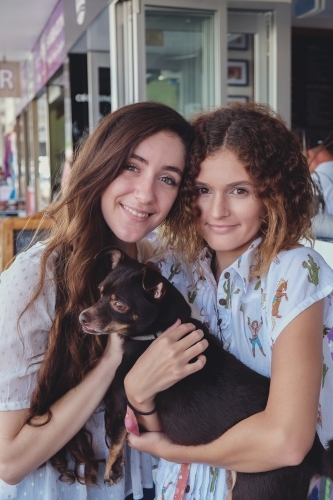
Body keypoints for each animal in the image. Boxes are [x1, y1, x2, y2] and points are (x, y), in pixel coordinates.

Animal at [78, 248, 332, 498]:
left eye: (119, 305)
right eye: (100, 293)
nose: (82, 317)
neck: (159, 331)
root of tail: (317, 455)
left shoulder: (121, 398)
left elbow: (116, 435)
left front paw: (111, 469)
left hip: (255, 487)